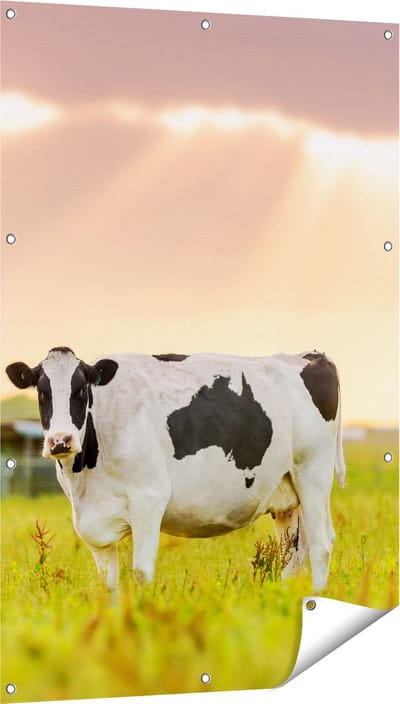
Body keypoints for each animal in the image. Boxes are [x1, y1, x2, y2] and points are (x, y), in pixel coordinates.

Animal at [6, 347, 345, 598]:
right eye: (42, 393)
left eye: (80, 390)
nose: (60, 441)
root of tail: (311, 355)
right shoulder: (94, 522)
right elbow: (108, 583)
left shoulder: (149, 498)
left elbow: (141, 573)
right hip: (287, 493)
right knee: (293, 552)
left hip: (312, 473)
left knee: (321, 544)